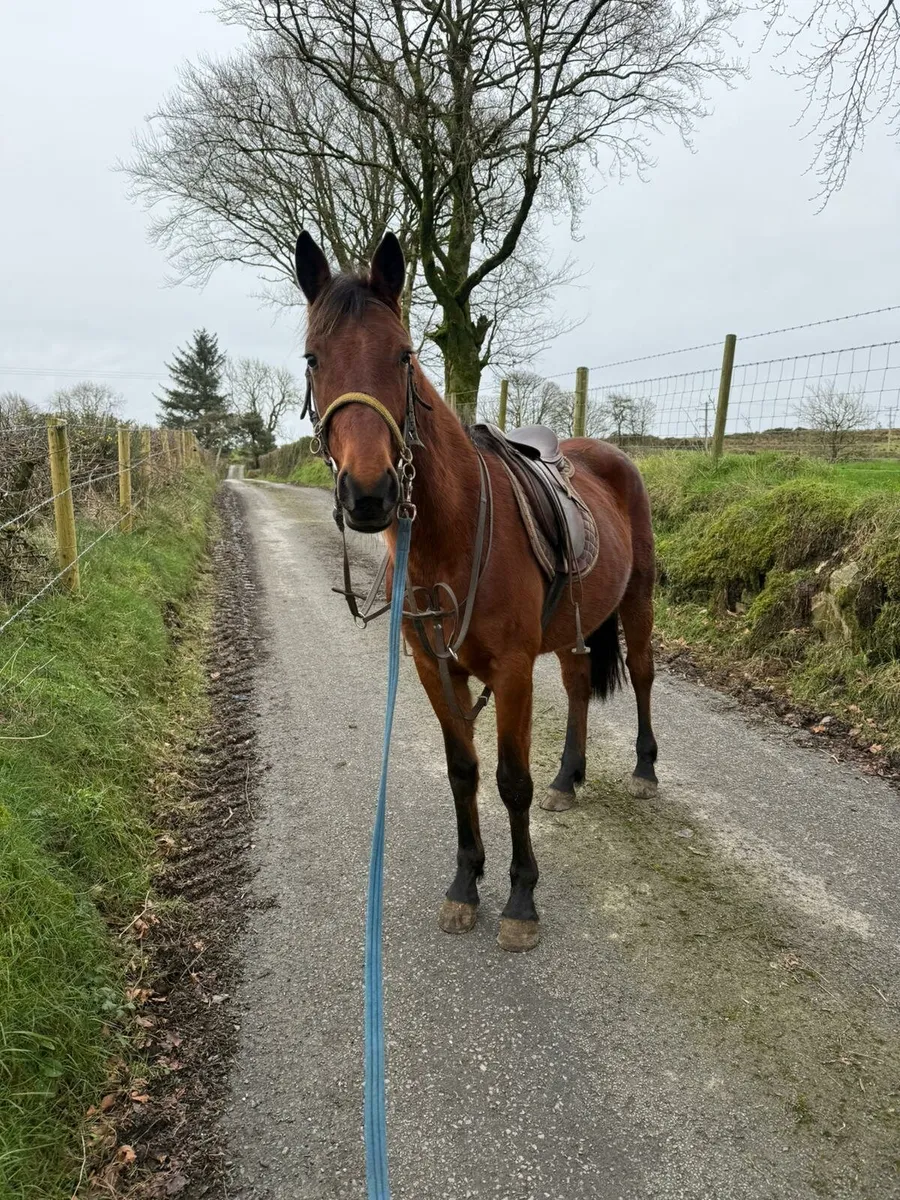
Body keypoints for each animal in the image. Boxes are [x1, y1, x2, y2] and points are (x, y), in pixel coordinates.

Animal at [294, 229, 658, 952]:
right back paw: (569, 778)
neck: (454, 536)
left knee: (642, 674)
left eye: (403, 355)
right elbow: (462, 769)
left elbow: (510, 781)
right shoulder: (434, 667)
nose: (370, 494)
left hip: (637, 603)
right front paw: (466, 883)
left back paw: (644, 771)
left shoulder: (513, 671)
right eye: (314, 359)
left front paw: (521, 900)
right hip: (573, 629)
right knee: (579, 685)